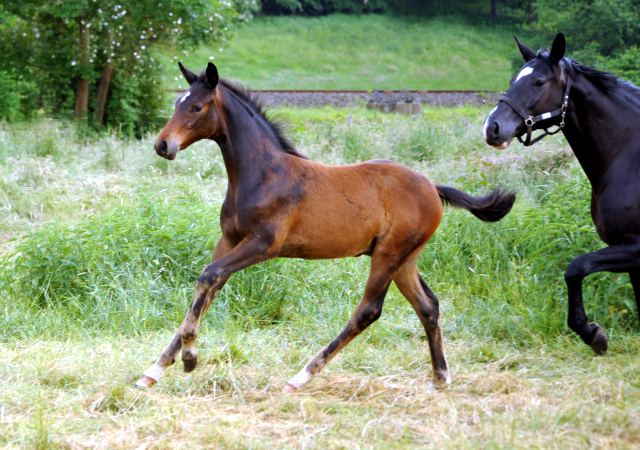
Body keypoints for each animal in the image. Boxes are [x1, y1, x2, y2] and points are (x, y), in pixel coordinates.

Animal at [482, 32, 640, 356]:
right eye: (513, 79)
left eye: (539, 82)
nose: (492, 128)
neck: (630, 157)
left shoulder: (635, 248)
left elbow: (575, 268)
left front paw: (592, 333)